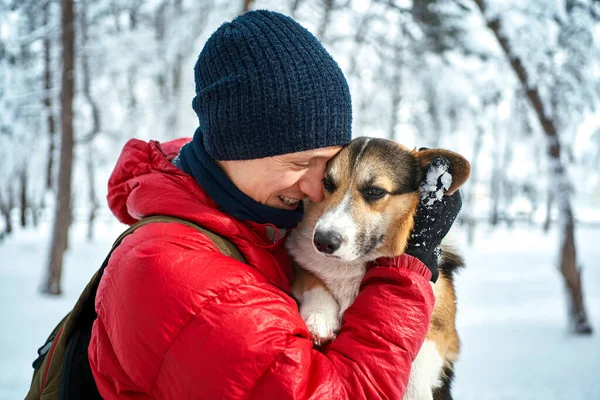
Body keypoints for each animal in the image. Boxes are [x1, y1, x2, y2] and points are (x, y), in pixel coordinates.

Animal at [284, 137, 468, 400]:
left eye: (375, 191)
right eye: (327, 183)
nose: (323, 241)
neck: (356, 261)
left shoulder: (443, 326)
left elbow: (418, 357)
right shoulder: (301, 262)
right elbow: (313, 279)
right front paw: (319, 318)